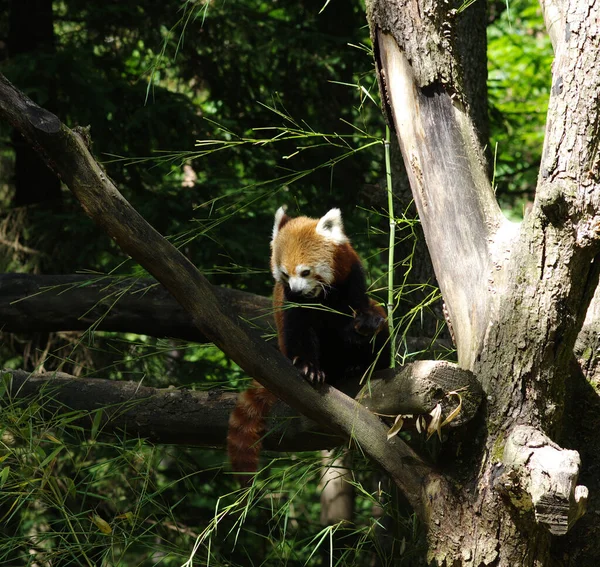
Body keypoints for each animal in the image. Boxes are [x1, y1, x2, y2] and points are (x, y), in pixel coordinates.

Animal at [227, 207, 392, 480]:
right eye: (285, 274)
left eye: (305, 271)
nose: (297, 289)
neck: (320, 297)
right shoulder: (291, 306)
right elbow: (300, 333)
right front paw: (309, 369)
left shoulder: (351, 279)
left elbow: (356, 318)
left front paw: (364, 327)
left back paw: (361, 366)